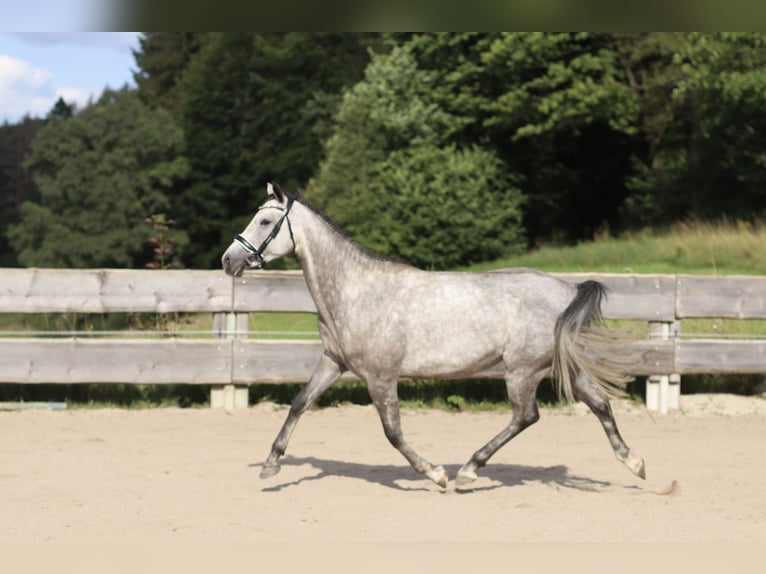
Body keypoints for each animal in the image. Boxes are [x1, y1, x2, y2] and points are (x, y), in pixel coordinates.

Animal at [222, 184, 648, 490]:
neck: (356, 290)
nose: (229, 260)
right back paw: (635, 463)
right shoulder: (334, 362)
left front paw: (435, 473)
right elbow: (299, 404)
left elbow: (393, 431)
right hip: (561, 367)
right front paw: (271, 465)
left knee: (526, 415)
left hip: (522, 371)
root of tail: (566, 289)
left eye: (265, 222)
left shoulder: (380, 375)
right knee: (599, 403)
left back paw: (469, 470)